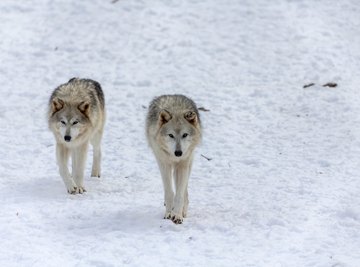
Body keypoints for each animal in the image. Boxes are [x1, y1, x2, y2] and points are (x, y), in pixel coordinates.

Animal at [146, 94, 202, 224]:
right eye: (171, 135)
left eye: (185, 135)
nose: (178, 153)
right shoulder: (164, 164)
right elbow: (169, 193)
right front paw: (168, 213)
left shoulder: (183, 165)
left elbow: (179, 195)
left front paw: (177, 215)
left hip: (187, 164)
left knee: (184, 191)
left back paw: (183, 211)